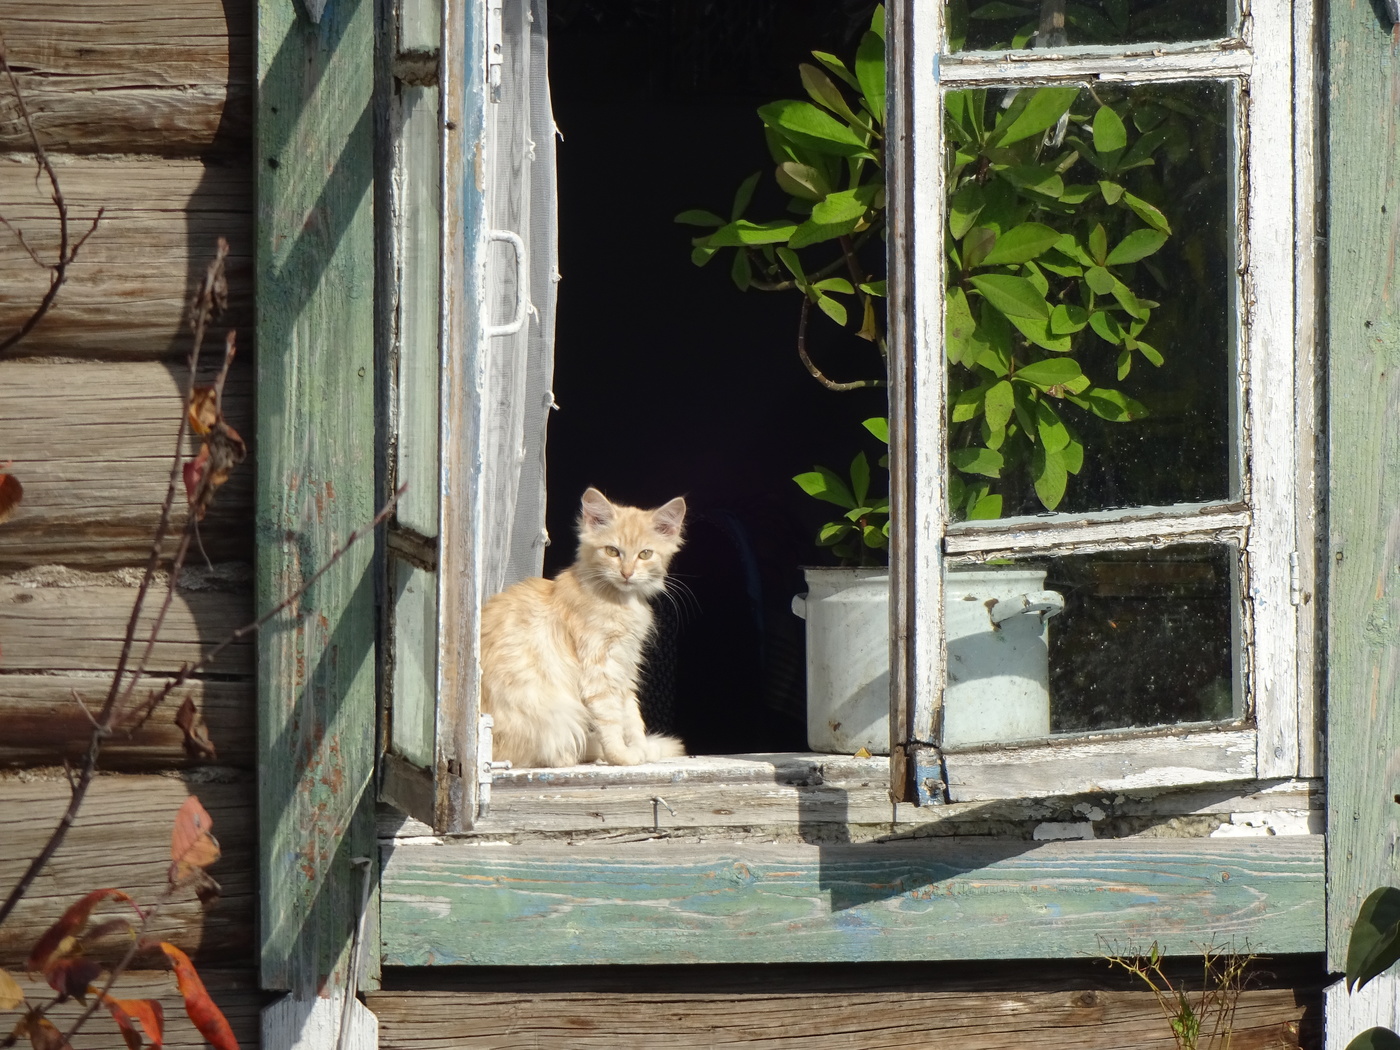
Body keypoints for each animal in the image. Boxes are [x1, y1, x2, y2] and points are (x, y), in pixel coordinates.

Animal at [481, 490, 688, 767]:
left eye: (645, 554)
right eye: (612, 551)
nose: (627, 573)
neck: (622, 602)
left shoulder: (624, 666)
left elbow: (632, 717)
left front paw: (640, 749)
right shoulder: (599, 666)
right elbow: (612, 719)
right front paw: (623, 756)